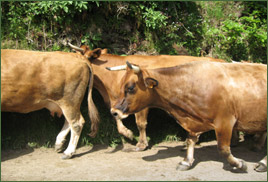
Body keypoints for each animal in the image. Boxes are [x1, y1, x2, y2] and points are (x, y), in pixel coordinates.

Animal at [108, 60, 266, 172]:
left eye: (130, 88)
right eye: (121, 85)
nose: (114, 111)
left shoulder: (225, 121)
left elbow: (223, 149)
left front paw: (239, 164)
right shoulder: (194, 123)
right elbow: (190, 141)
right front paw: (186, 161)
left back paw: (262, 162)